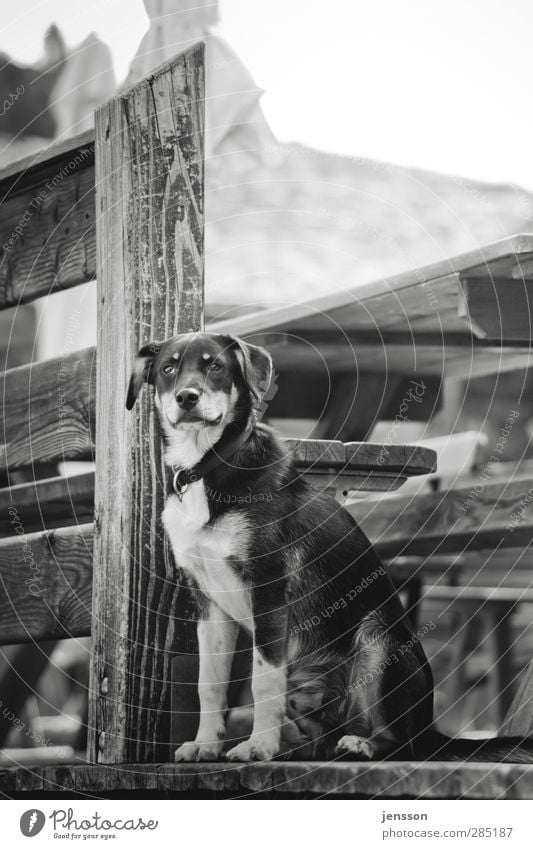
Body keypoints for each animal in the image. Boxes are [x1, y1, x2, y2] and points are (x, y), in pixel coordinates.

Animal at [128, 332, 532, 760]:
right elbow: (210, 684)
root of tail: (432, 729)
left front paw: (258, 746)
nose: (186, 397)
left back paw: (359, 744)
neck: (208, 465)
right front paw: (206, 745)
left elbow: (263, 680)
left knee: (396, 740)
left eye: (216, 366)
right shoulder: (207, 600)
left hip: (377, 636)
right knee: (321, 736)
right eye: (168, 368)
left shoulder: (268, 587)